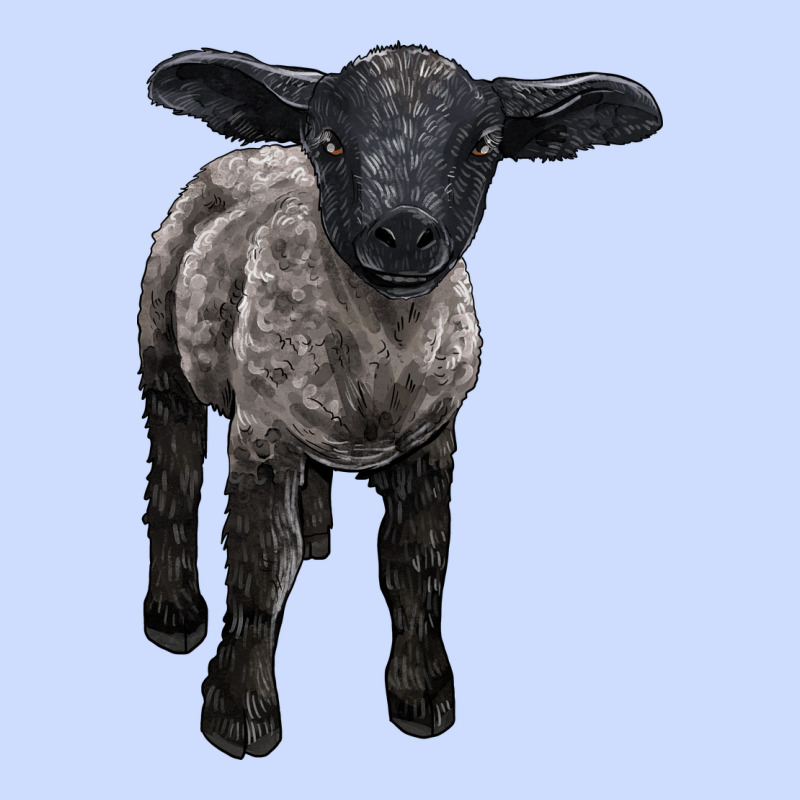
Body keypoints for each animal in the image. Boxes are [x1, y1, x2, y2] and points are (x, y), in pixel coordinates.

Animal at [140, 44, 661, 759]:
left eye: (483, 146)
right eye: (330, 142)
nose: (408, 233)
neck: (379, 356)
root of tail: (258, 152)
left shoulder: (431, 442)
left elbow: (415, 563)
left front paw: (422, 695)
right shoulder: (261, 434)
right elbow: (262, 565)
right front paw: (239, 712)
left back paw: (318, 533)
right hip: (162, 349)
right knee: (175, 470)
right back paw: (173, 612)